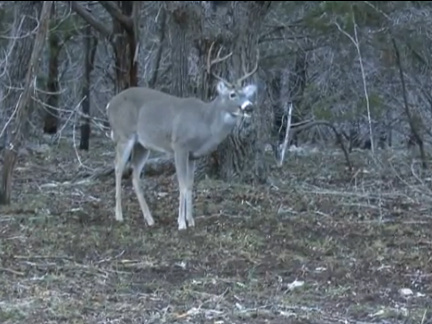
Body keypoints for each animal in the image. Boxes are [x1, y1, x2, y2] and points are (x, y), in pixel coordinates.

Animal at [106, 42, 258, 230]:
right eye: (232, 94)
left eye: (247, 94)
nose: (249, 107)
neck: (205, 122)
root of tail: (109, 104)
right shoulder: (180, 145)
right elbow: (182, 184)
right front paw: (181, 223)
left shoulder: (193, 155)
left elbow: (191, 185)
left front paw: (191, 220)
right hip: (123, 135)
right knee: (118, 167)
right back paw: (119, 216)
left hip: (142, 144)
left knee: (134, 174)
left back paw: (150, 219)